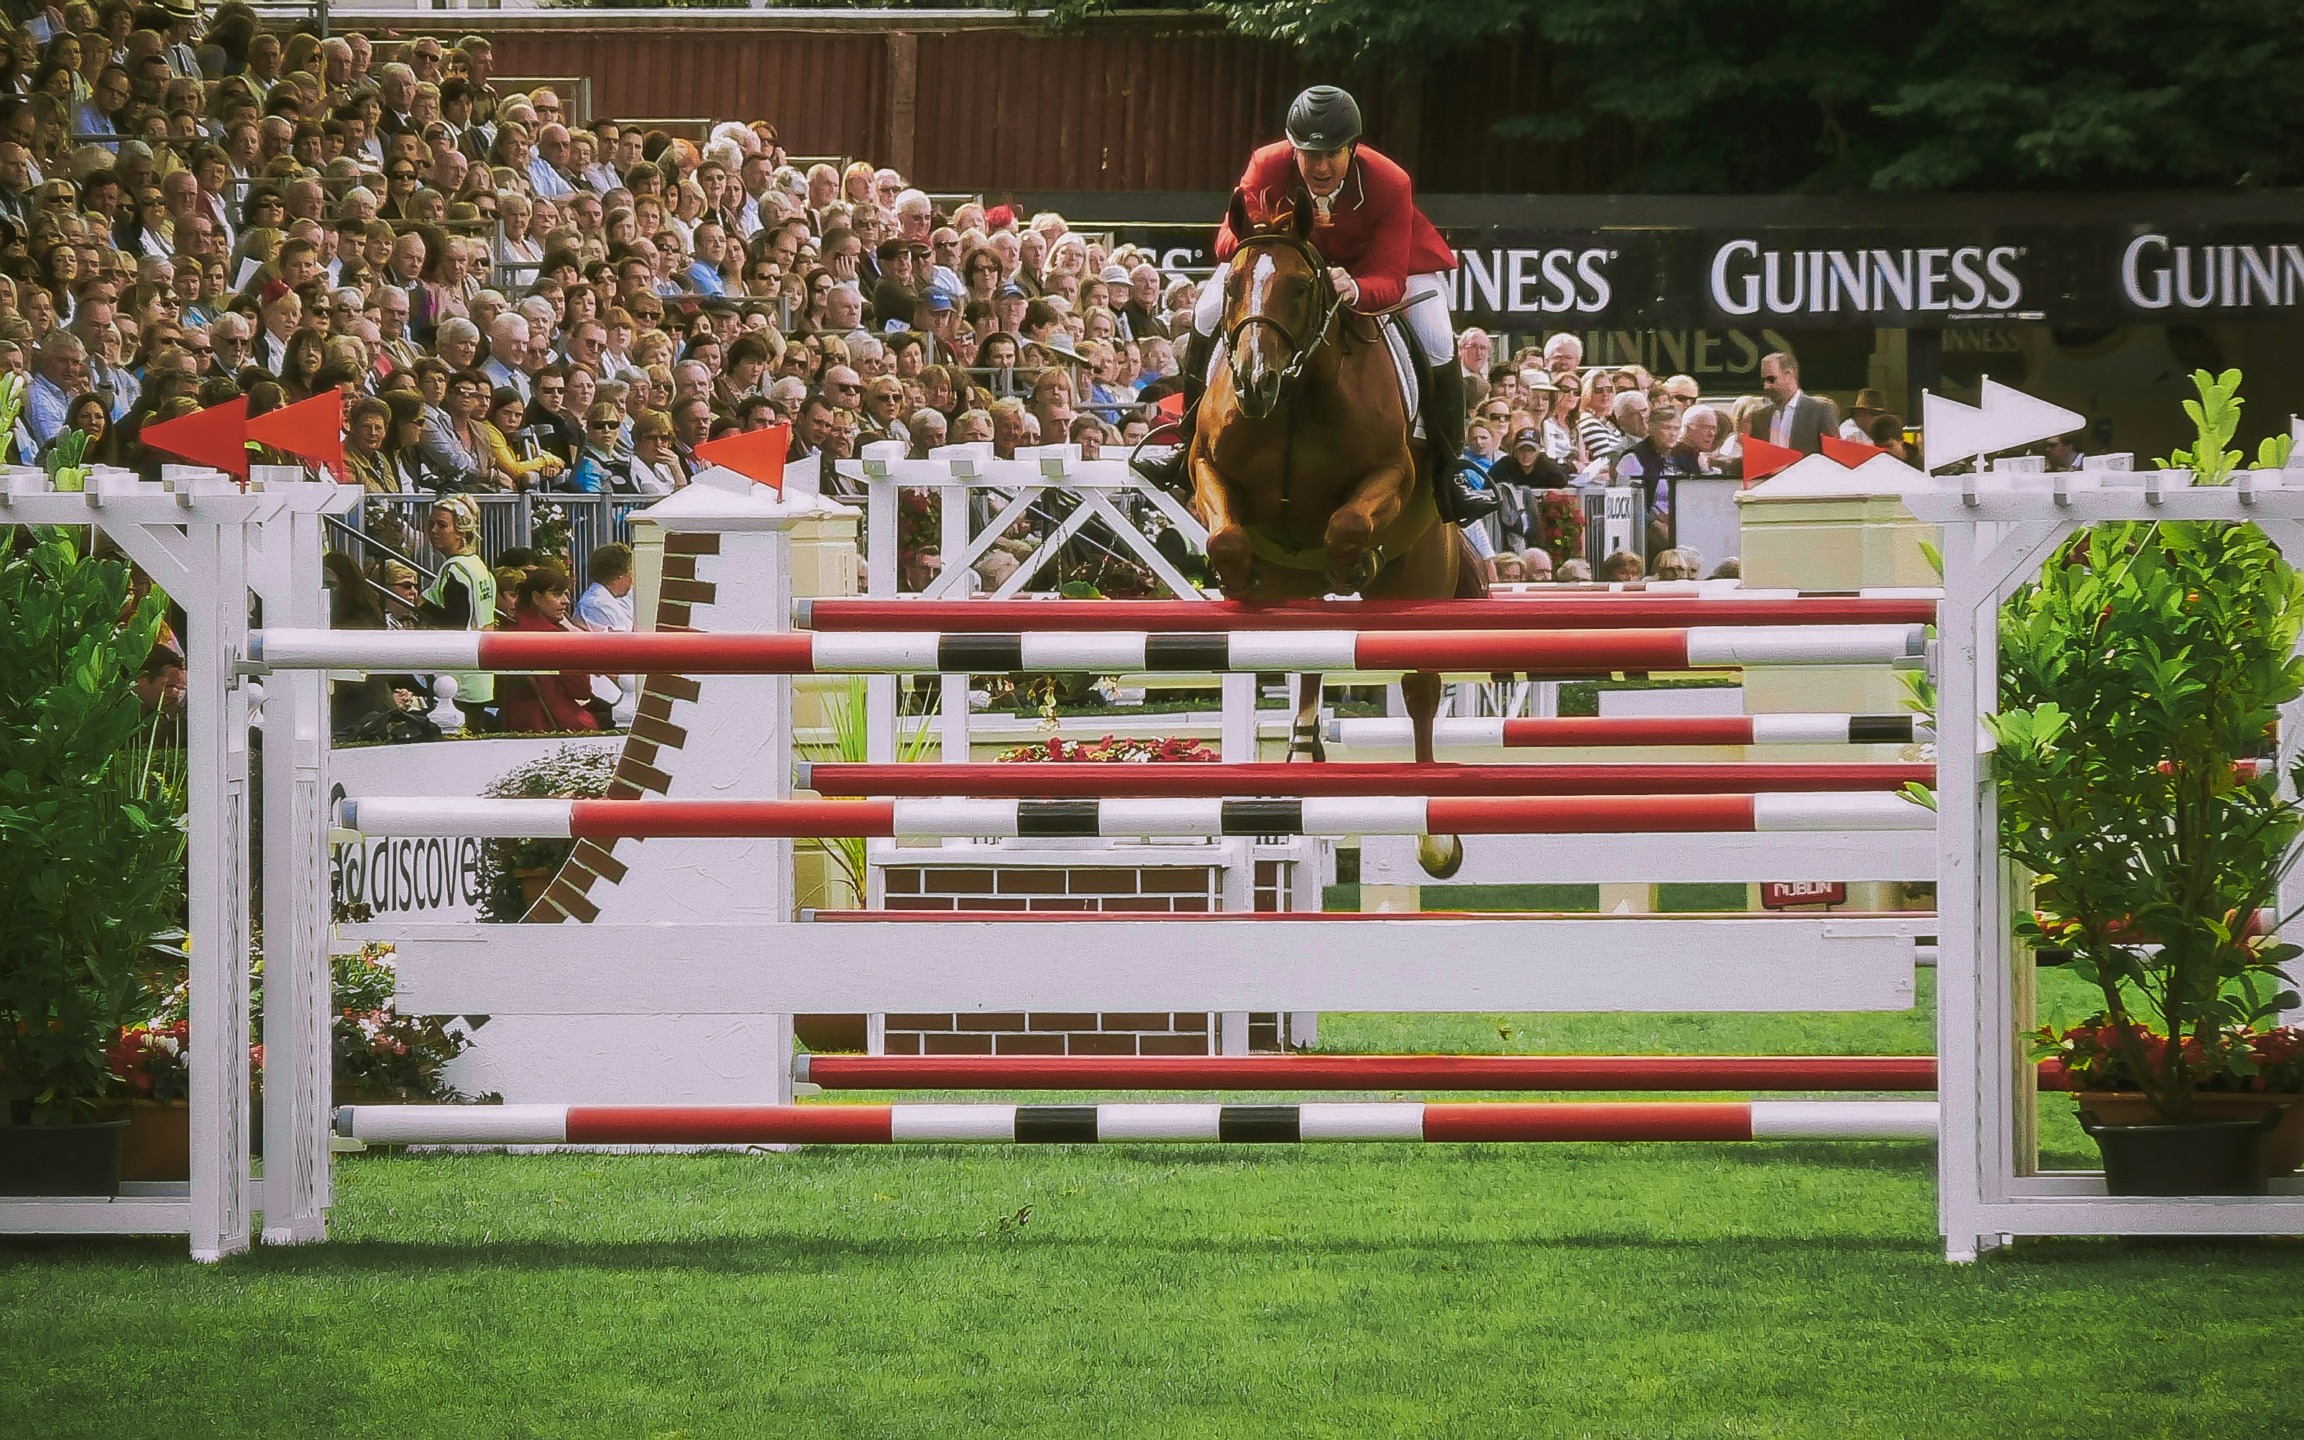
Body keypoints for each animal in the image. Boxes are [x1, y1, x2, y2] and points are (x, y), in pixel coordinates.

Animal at [1187, 192, 1487, 878]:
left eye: (1300, 288)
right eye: (1234, 285)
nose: (1252, 384)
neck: (1295, 398)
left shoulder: (1392, 474)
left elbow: (1348, 523)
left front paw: (1354, 563)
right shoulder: (1206, 468)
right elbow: (1227, 537)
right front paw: (1236, 577)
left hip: (1422, 578)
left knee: (1420, 690)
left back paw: (1436, 837)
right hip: (1297, 590)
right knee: (1306, 656)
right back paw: (1301, 754)